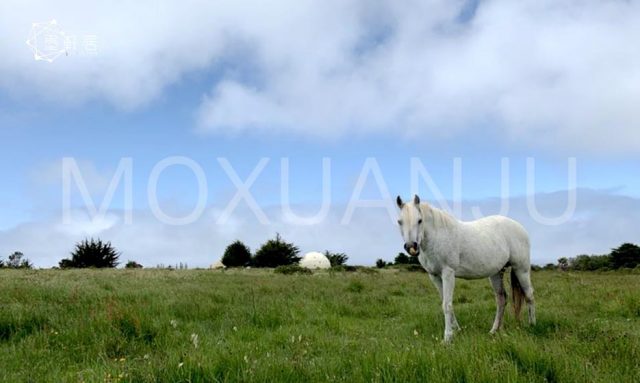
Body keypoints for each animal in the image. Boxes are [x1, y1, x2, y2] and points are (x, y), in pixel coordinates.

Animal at [396, 196, 536, 344]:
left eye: (419, 220)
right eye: (400, 221)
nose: (411, 247)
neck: (438, 235)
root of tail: (520, 227)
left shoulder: (448, 273)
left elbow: (447, 305)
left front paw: (447, 338)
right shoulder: (434, 276)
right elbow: (445, 302)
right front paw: (457, 330)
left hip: (521, 269)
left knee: (529, 295)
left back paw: (532, 325)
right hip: (496, 273)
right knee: (501, 299)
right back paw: (493, 330)